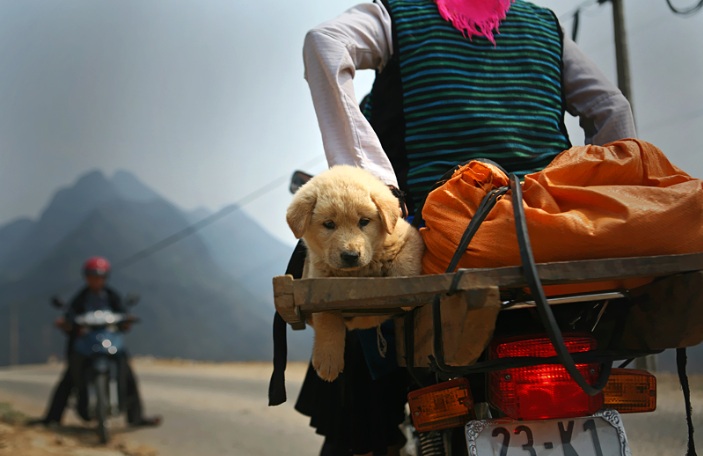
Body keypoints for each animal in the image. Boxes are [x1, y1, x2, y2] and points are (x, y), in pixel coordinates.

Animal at [286, 164, 424, 382]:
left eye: (364, 221)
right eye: (329, 224)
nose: (350, 255)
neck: (358, 271)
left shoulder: (408, 236)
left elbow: (404, 260)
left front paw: (406, 290)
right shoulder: (318, 284)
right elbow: (327, 319)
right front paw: (328, 359)